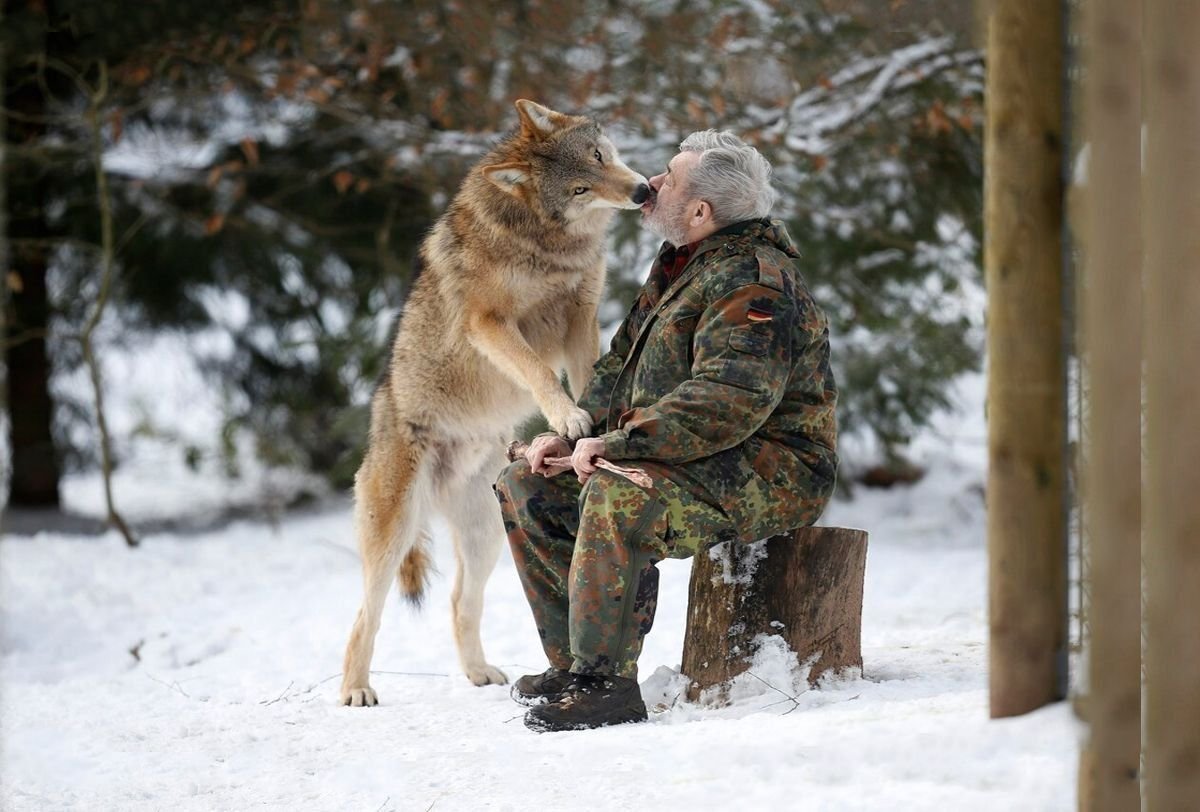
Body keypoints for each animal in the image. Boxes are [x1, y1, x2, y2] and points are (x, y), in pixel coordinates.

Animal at [338, 99, 648, 705]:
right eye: (579, 187)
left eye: (600, 156)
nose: (643, 191)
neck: (546, 243)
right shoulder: (490, 323)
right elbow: (538, 371)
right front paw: (567, 415)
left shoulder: (581, 314)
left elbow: (588, 372)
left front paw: (590, 427)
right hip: (394, 534)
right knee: (366, 614)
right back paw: (355, 691)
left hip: (485, 537)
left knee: (461, 601)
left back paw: (479, 673)